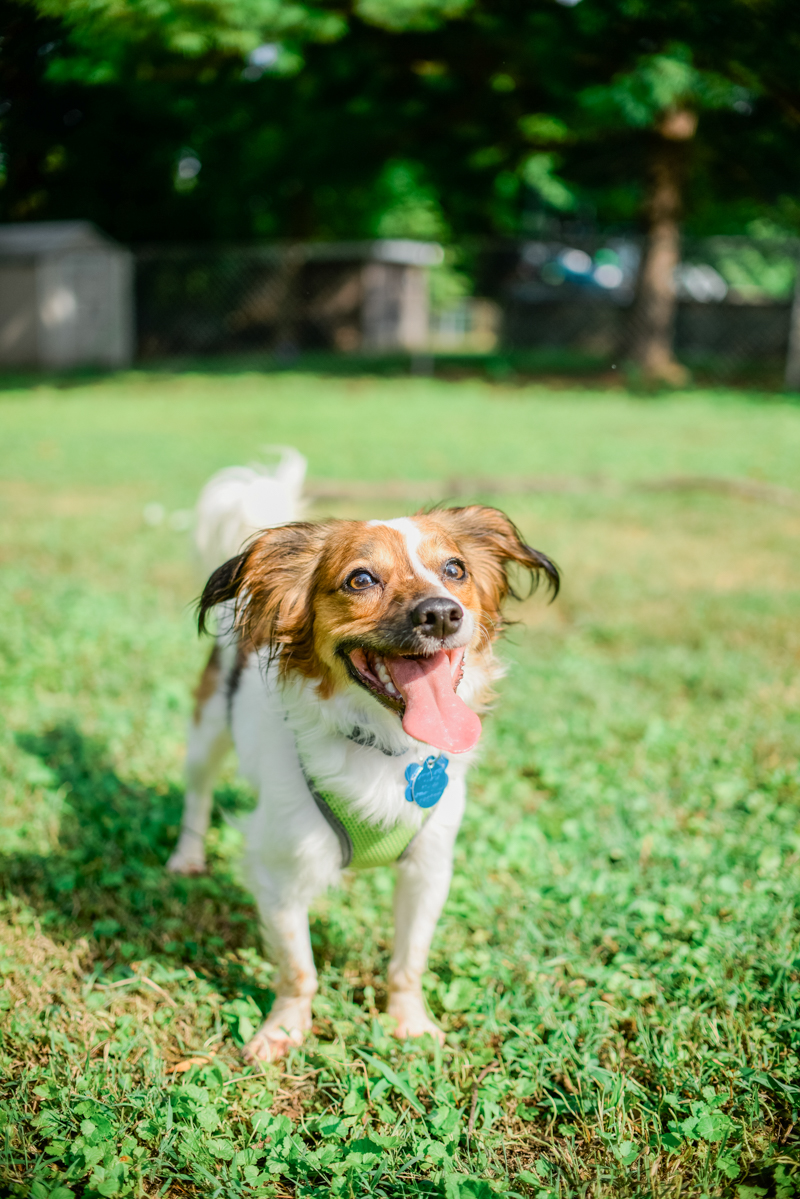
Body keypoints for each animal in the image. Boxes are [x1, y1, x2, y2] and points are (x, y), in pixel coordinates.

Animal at [167, 462, 556, 1064]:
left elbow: (408, 961)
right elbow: (298, 970)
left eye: (455, 570)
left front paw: (410, 1022)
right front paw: (283, 1031)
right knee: (198, 792)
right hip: (207, 730)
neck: (381, 743)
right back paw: (186, 856)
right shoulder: (280, 870)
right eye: (361, 580)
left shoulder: (428, 867)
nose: (442, 613)